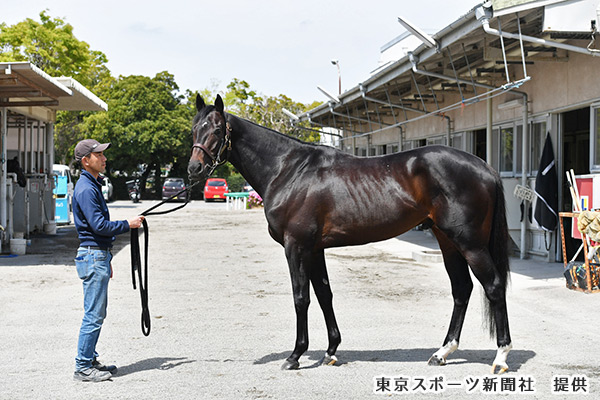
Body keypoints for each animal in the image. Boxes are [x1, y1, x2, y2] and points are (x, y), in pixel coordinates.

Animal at [186, 95, 510, 374]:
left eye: (217, 129)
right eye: (194, 129)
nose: (194, 168)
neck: (289, 169)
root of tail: (485, 166)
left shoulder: (296, 246)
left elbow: (301, 297)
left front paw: (295, 356)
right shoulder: (314, 249)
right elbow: (324, 294)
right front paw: (330, 351)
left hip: (470, 243)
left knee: (493, 286)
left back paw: (501, 357)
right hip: (447, 241)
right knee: (461, 288)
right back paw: (442, 353)